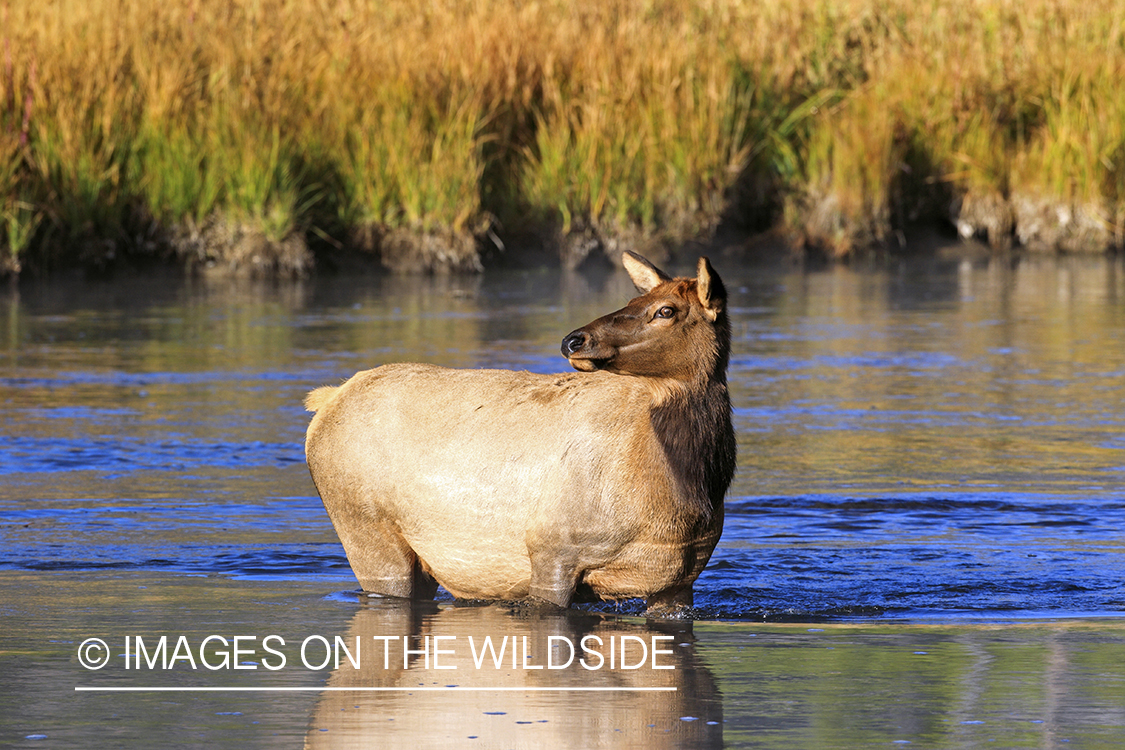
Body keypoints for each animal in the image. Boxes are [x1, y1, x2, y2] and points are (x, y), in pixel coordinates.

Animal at [303, 251, 735, 613]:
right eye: (632, 301)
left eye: (666, 310)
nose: (573, 340)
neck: (681, 494)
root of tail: (325, 401)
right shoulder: (552, 550)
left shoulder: (678, 581)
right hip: (367, 533)